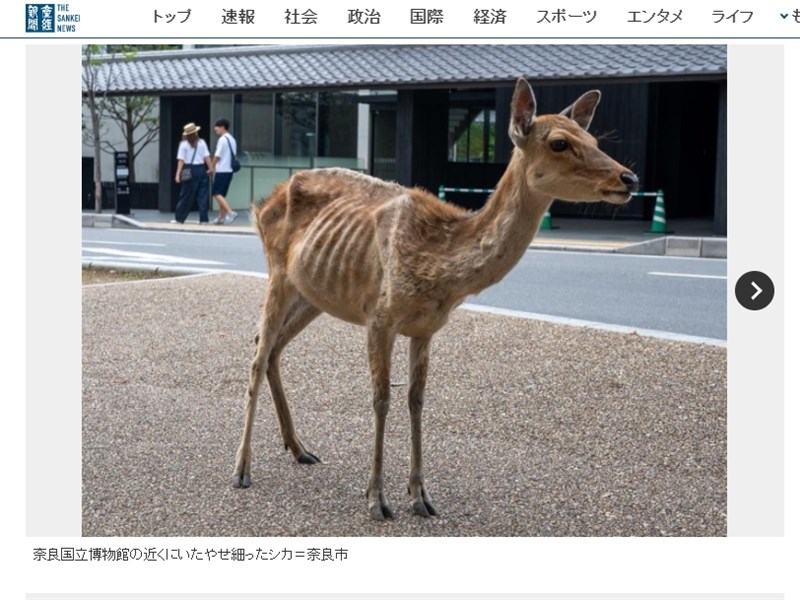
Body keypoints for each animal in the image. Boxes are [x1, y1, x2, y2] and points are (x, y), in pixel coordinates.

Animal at [232, 77, 639, 521]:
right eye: (560, 143)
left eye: (594, 138)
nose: (629, 178)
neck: (441, 271)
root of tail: (262, 202)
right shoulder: (380, 316)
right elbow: (381, 399)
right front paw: (377, 500)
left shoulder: (427, 328)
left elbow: (416, 400)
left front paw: (420, 496)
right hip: (277, 271)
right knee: (257, 355)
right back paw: (241, 469)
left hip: (314, 294)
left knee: (272, 347)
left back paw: (300, 448)